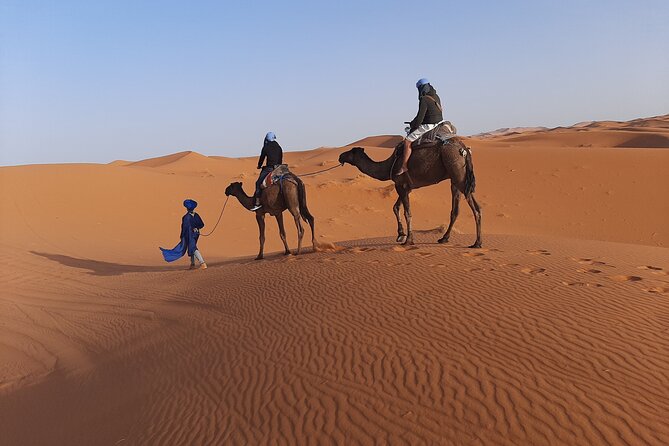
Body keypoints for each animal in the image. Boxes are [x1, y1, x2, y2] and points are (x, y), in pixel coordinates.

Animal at [338, 137, 482, 248]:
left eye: (351, 151)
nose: (340, 156)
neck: (389, 165)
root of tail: (464, 149)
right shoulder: (406, 187)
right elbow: (395, 207)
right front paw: (401, 235)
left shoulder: (401, 185)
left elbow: (407, 212)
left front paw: (408, 240)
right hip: (455, 180)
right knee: (456, 210)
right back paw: (444, 238)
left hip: (459, 175)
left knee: (476, 208)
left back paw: (477, 243)